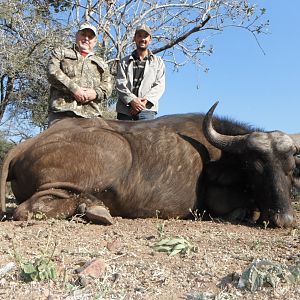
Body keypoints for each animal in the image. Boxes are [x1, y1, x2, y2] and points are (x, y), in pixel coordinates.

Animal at [0, 103, 300, 227]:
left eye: (289, 169)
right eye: (255, 169)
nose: (284, 219)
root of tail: (25, 145)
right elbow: (241, 209)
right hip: (115, 152)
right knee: (28, 209)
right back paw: (95, 208)